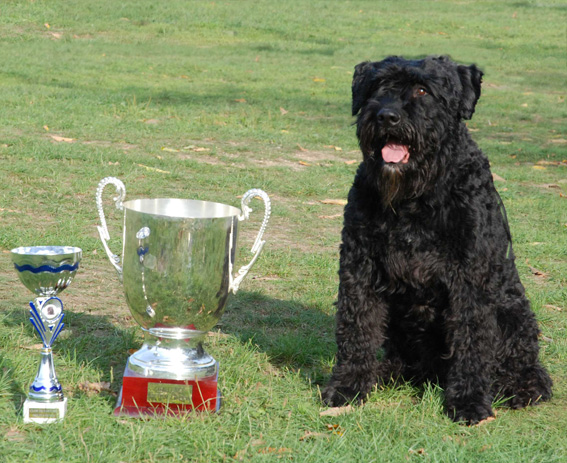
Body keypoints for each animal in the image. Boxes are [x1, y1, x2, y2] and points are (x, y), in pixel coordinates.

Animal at [322, 54, 552, 424]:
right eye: (378, 87)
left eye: (422, 90)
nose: (387, 115)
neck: (416, 197)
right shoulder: (360, 264)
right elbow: (356, 326)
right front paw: (348, 385)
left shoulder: (470, 277)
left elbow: (472, 339)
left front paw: (468, 401)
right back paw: (386, 371)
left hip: (512, 313)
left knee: (526, 365)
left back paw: (522, 387)